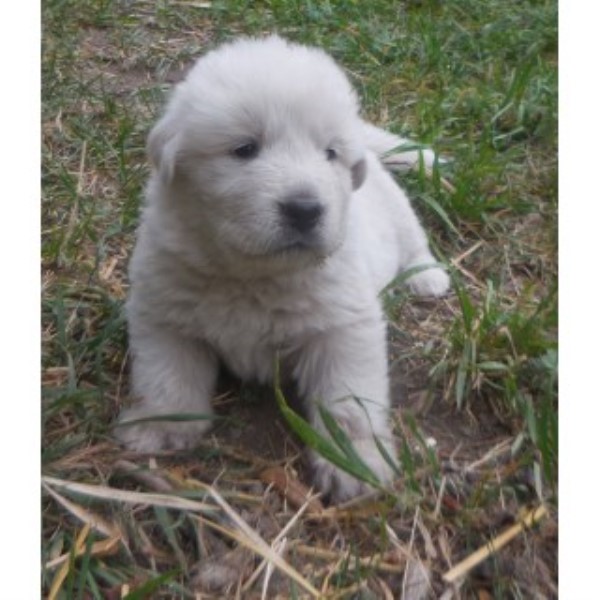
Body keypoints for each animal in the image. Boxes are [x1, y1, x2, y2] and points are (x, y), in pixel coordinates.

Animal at [119, 35, 448, 500]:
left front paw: (354, 462)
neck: (252, 275)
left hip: (397, 209)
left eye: (330, 153)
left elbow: (348, 401)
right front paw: (159, 428)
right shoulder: (163, 312)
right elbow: (166, 376)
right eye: (244, 149)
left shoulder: (343, 329)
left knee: (416, 239)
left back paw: (427, 277)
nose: (306, 209)